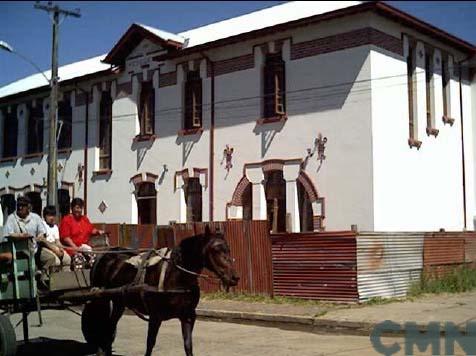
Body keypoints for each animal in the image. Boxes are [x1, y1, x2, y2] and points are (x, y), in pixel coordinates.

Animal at [81, 227, 242, 356]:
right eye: (215, 250)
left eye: (228, 249)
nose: (234, 278)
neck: (176, 275)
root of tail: (104, 255)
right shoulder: (155, 317)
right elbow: (150, 344)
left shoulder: (188, 316)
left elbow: (188, 346)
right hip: (102, 298)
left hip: (119, 302)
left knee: (110, 327)